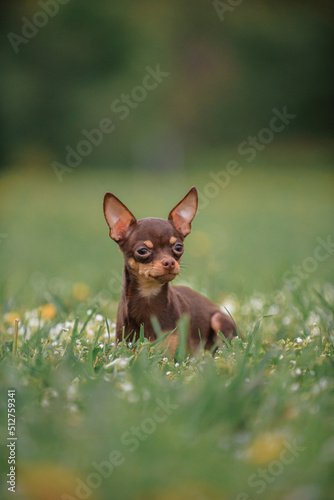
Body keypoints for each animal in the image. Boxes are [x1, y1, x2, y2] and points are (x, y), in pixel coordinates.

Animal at [103, 186, 236, 354]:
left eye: (178, 247)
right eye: (142, 251)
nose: (170, 262)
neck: (149, 296)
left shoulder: (175, 354)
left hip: (218, 319)